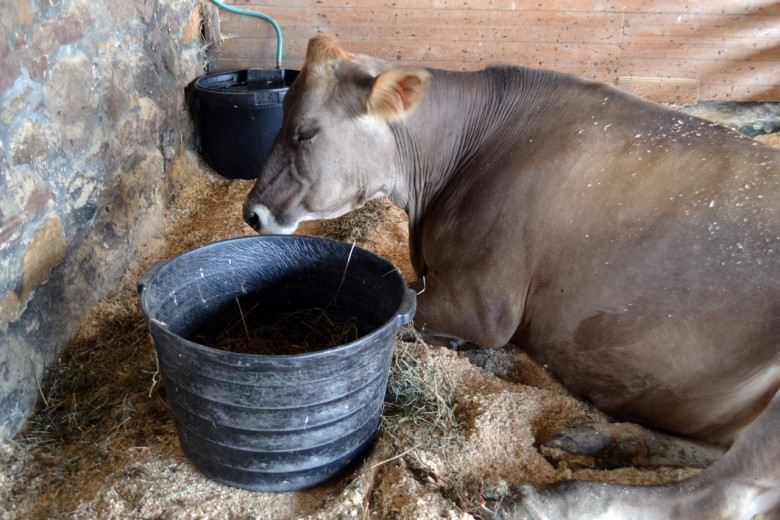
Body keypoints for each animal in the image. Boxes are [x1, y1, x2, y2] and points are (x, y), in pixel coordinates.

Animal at [244, 34, 780, 516]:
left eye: (306, 132)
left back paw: (529, 499)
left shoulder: (483, 305)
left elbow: (409, 314)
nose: (252, 212)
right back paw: (608, 440)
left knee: (724, 493)